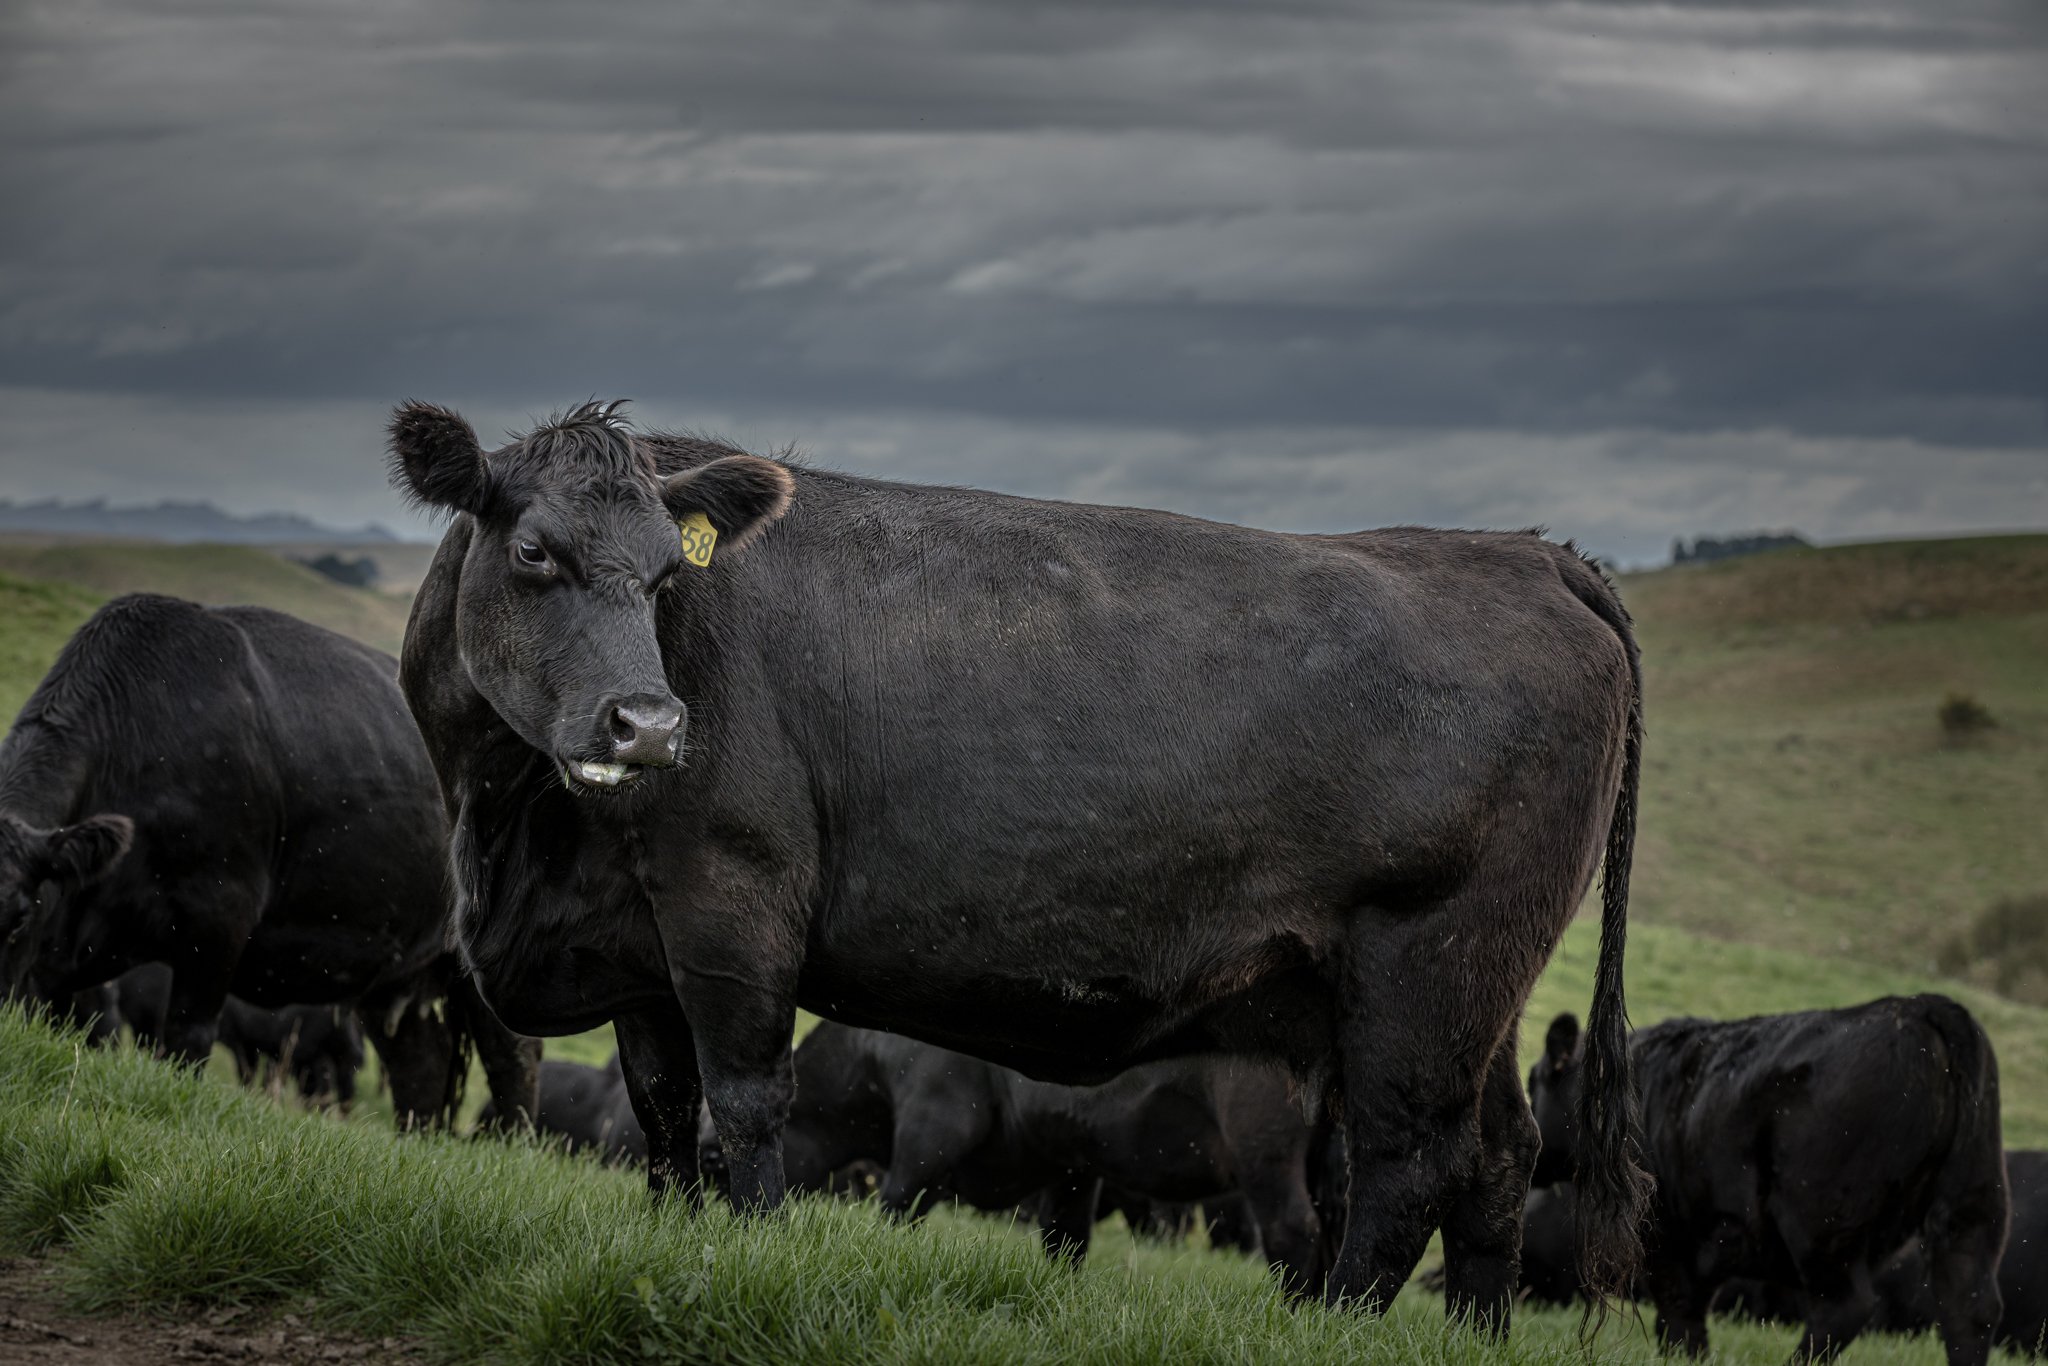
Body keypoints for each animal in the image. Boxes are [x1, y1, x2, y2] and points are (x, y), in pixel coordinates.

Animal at [0, 592, 539, 1131]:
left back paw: (509, 1144)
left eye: (17, 918)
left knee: (515, 1063)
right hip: (399, 969)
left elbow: (186, 1041)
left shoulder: (219, 918)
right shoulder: (57, 959)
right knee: (421, 1065)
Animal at [730, 1020, 1325, 1290]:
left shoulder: (933, 1125)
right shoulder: (1071, 1161)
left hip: (1264, 1152)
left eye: (714, 1161)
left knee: (1292, 1230)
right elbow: (1065, 1237)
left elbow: (898, 1203)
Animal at [1527, 999, 2008, 1363]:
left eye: (1534, 1085)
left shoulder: (1666, 1239)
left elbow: (1679, 1319)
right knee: (1968, 1310)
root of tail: (1921, 1007)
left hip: (1822, 1222)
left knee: (1843, 1309)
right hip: (1972, 1210)